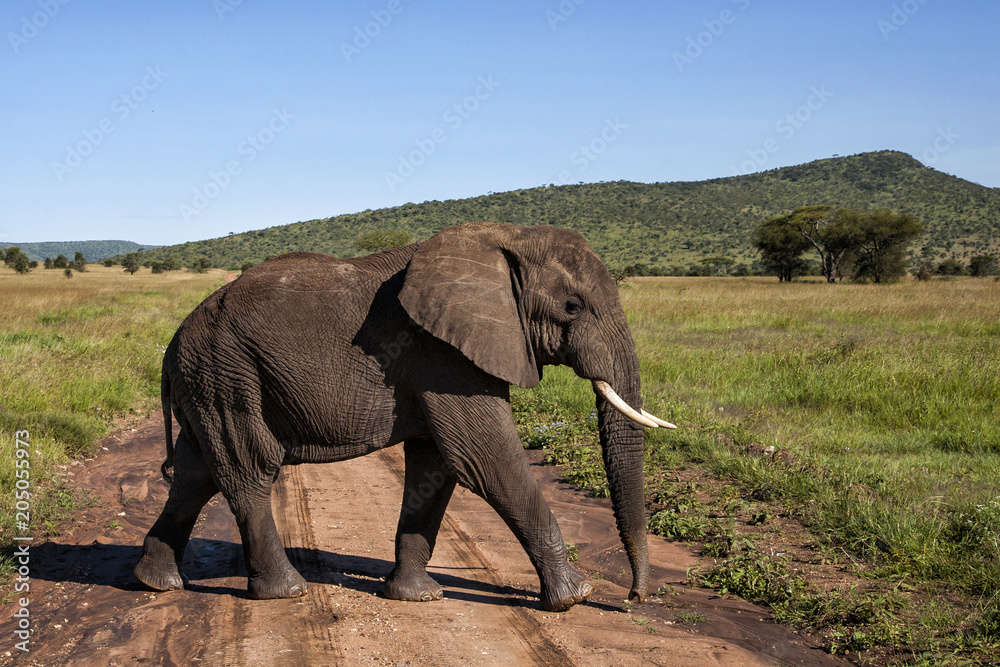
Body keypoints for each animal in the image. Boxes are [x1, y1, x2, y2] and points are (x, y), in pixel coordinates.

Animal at [133, 222, 674, 612]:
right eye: (571, 306)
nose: (632, 598)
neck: (507, 238)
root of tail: (173, 345)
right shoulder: (445, 355)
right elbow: (486, 459)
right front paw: (574, 598)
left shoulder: (443, 360)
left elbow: (436, 466)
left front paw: (418, 596)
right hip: (228, 374)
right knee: (248, 470)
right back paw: (286, 592)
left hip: (208, 382)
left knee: (195, 474)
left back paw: (156, 582)